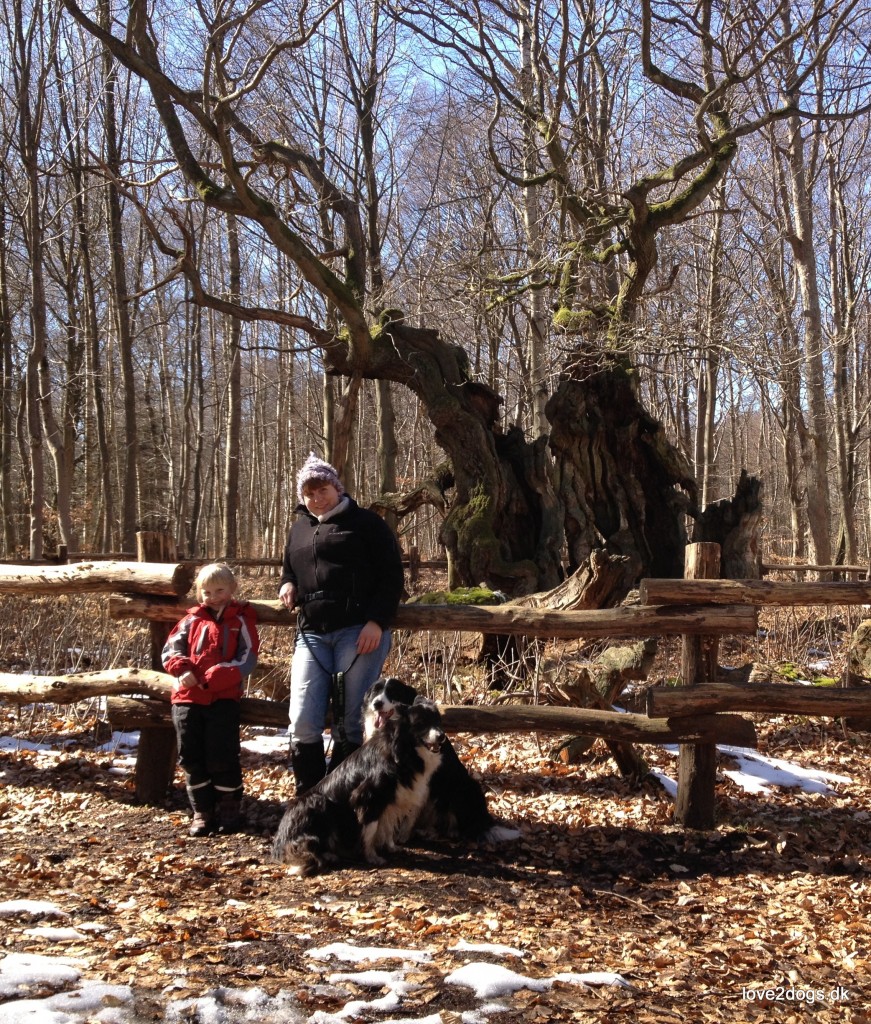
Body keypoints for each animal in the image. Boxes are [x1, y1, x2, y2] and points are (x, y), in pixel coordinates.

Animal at [272, 700, 446, 876]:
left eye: (437, 721)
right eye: (421, 723)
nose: (442, 736)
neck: (402, 750)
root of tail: (279, 842)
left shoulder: (392, 801)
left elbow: (388, 827)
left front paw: (391, 847)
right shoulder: (367, 797)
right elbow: (370, 829)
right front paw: (371, 856)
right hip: (318, 802)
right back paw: (328, 855)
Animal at [360, 679, 517, 839]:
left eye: (393, 692)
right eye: (376, 691)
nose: (377, 703)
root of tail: (485, 820)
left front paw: (401, 836)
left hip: (465, 788)